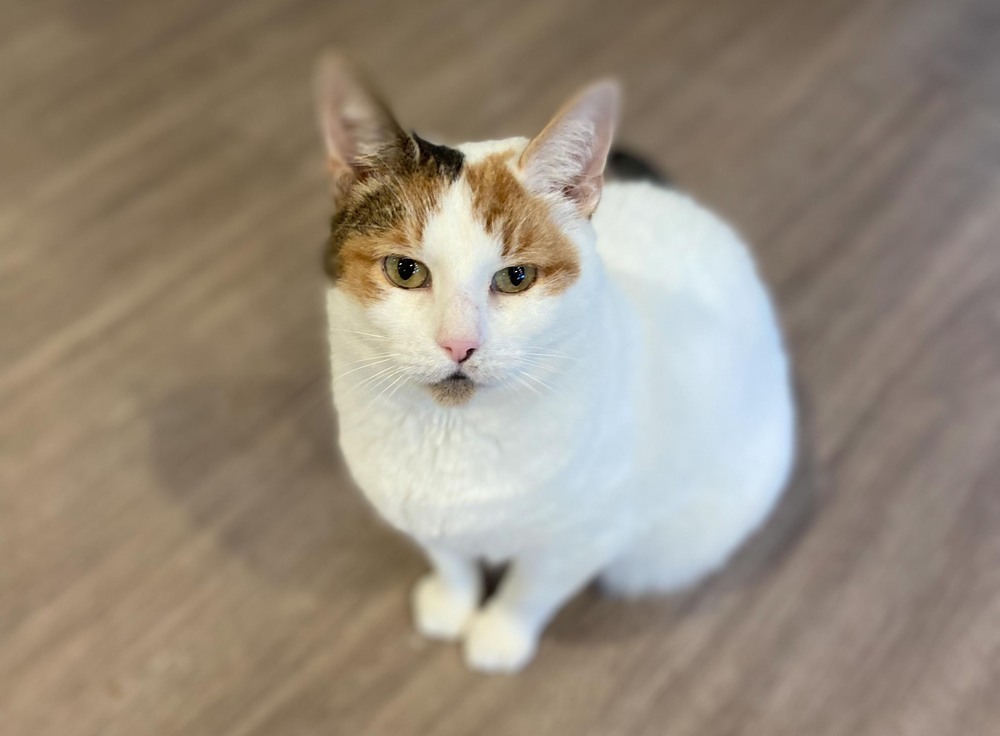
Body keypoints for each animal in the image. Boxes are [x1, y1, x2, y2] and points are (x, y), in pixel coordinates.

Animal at [314, 51, 796, 672]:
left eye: (516, 277)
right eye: (405, 270)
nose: (459, 344)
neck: (455, 444)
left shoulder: (586, 538)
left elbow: (530, 588)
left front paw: (499, 636)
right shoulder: (417, 511)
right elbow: (450, 558)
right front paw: (452, 602)